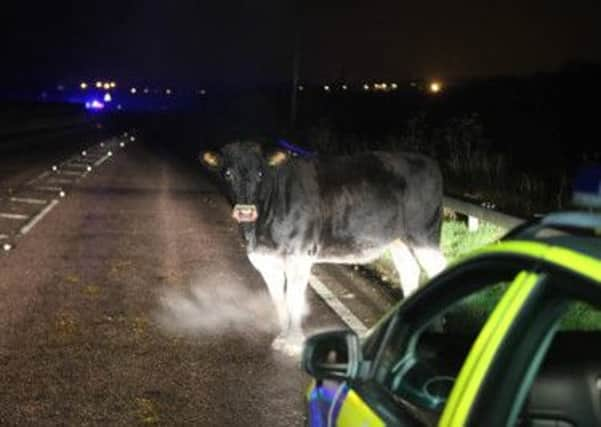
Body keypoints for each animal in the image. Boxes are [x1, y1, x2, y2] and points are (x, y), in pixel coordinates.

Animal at [202, 140, 446, 354]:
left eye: (261, 173)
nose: (245, 211)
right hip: (398, 240)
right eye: (227, 173)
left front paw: (293, 343)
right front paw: (283, 337)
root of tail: (428, 161)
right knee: (409, 271)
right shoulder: (265, 259)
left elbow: (293, 298)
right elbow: (278, 299)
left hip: (424, 235)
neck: (259, 230)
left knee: (438, 270)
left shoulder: (300, 254)